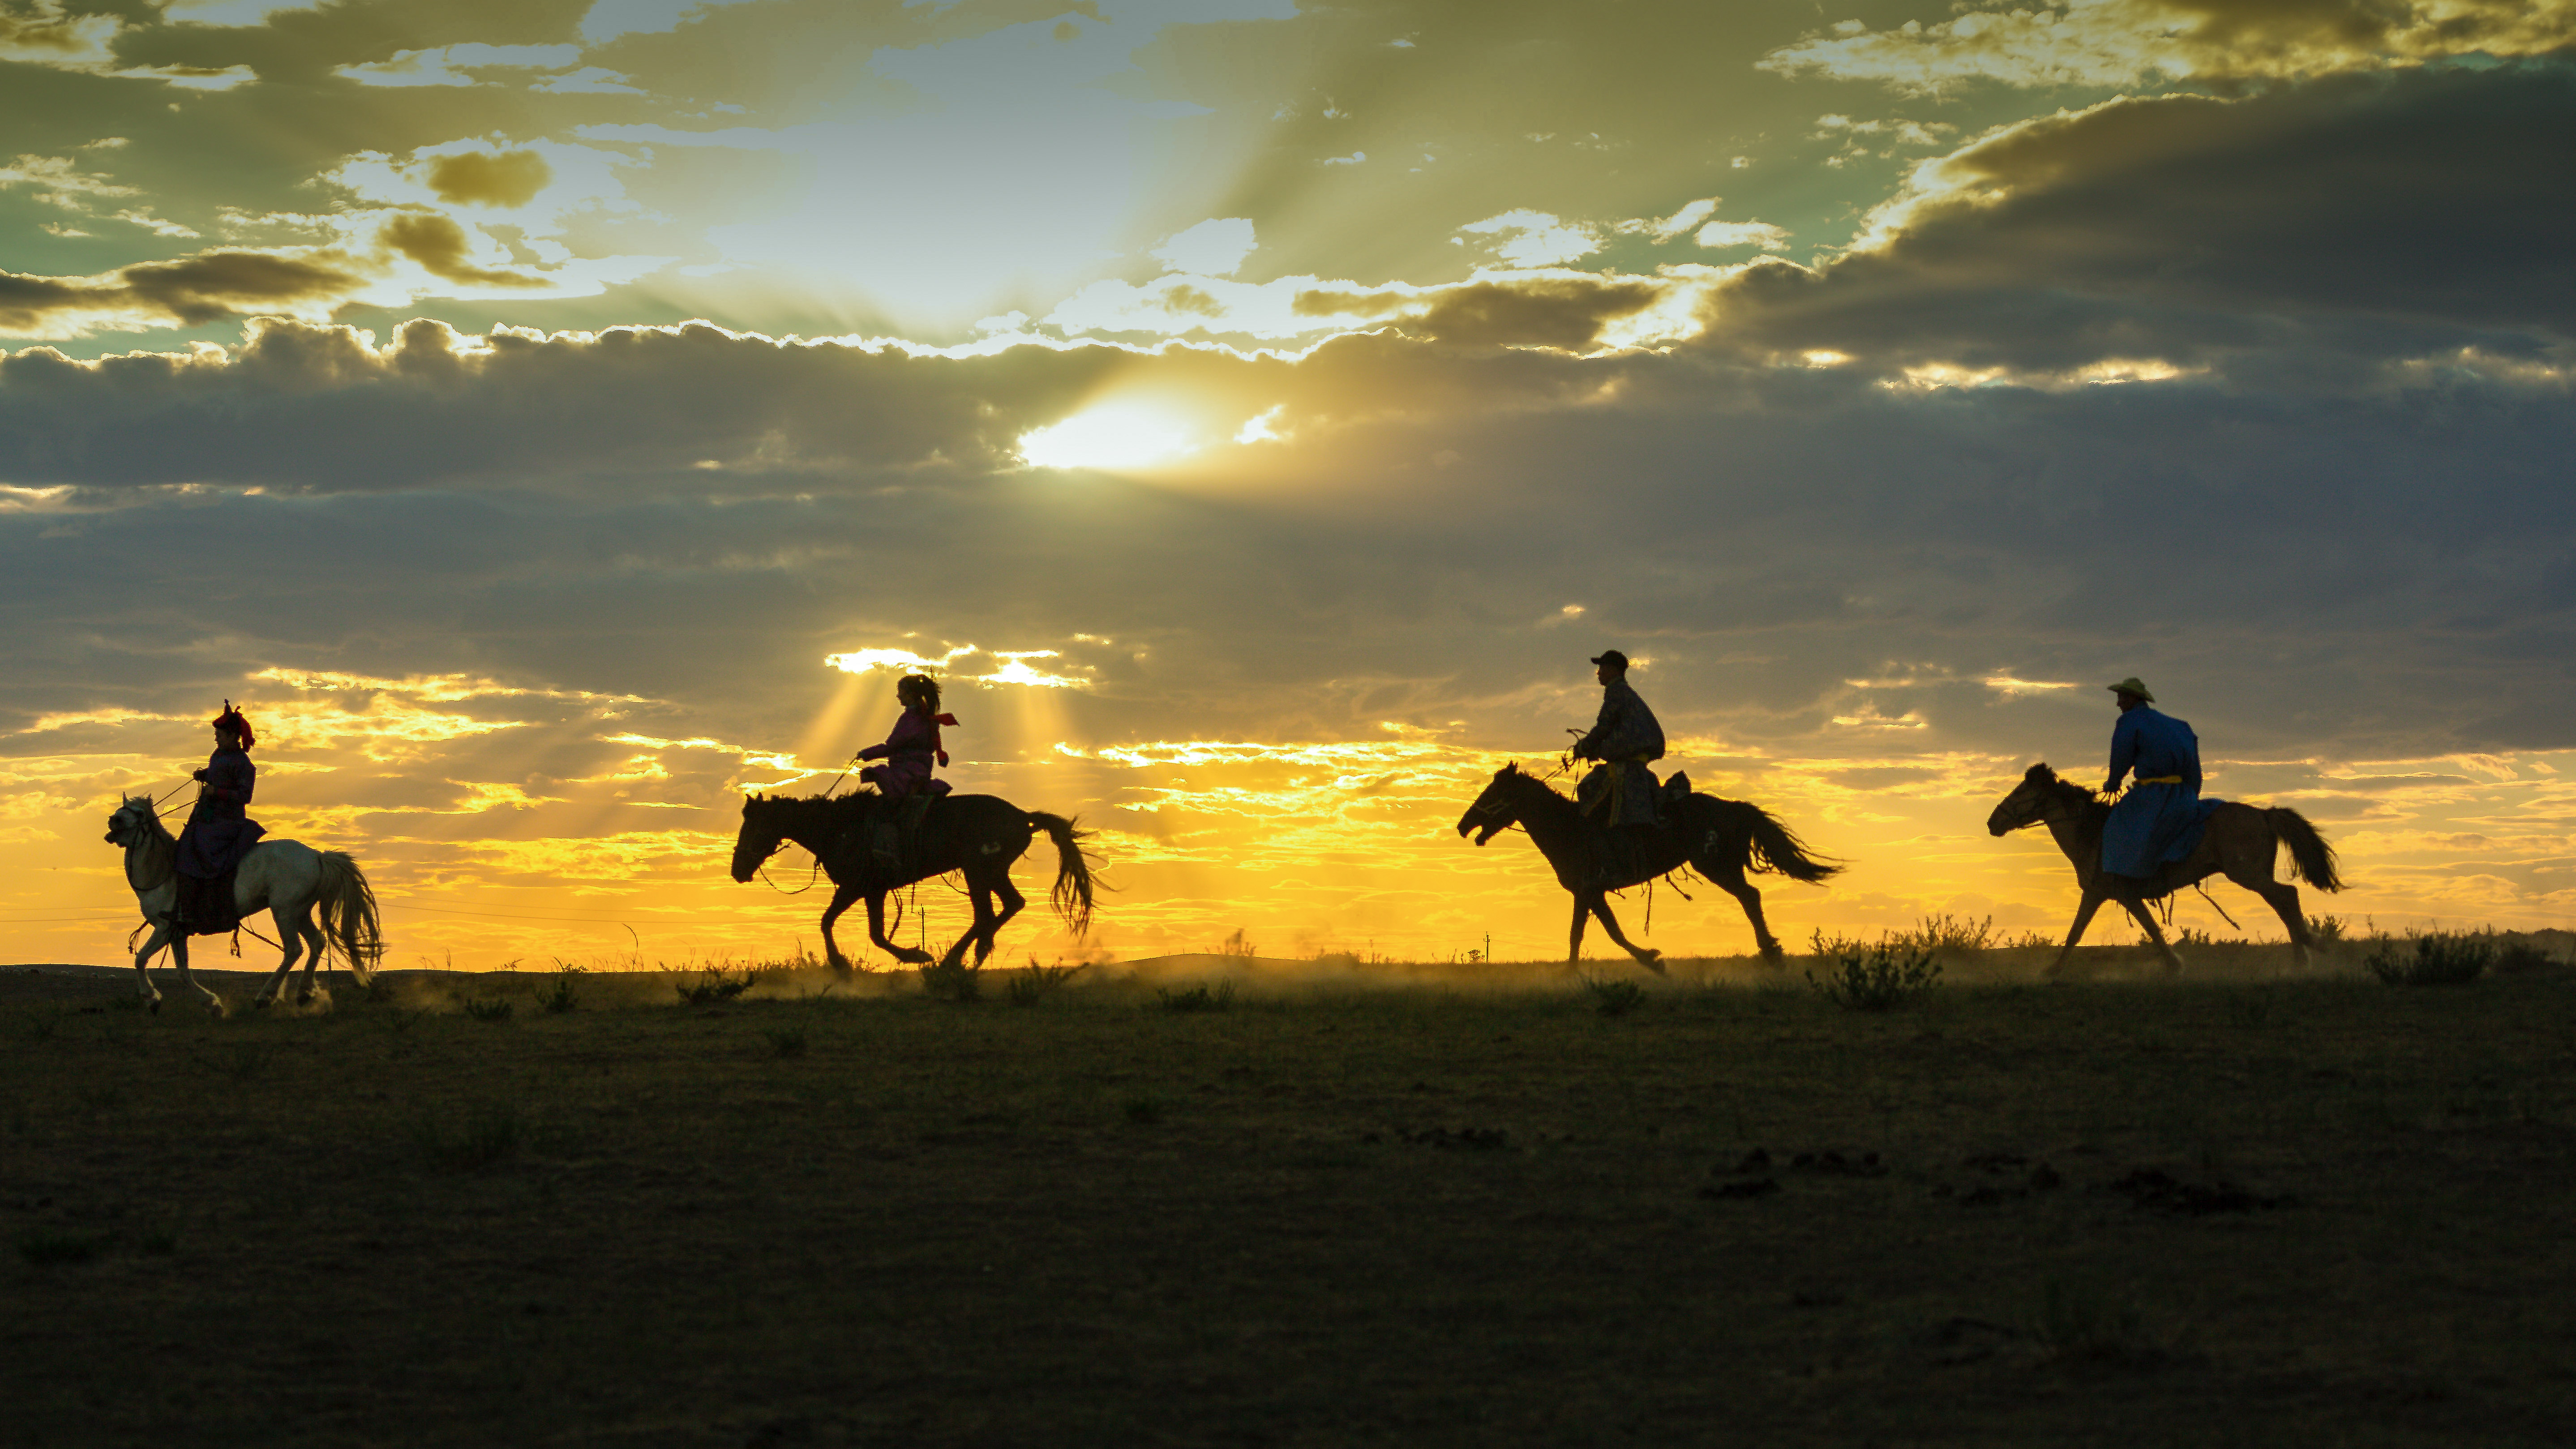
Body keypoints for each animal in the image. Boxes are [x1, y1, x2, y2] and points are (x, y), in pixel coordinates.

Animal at [103, 789, 386, 1016]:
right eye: (122, 809)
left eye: (139, 813)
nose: (114, 820)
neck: (162, 872)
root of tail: (317, 856)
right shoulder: (177, 932)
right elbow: (183, 972)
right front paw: (211, 1004)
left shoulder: (164, 929)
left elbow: (141, 960)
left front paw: (151, 999)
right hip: (300, 912)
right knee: (316, 942)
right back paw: (304, 993)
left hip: (284, 912)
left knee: (294, 949)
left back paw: (266, 997)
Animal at [731, 789, 1092, 969]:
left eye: (753, 826)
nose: (737, 871)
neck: (840, 827)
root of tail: (1023, 817)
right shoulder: (870, 891)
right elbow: (866, 931)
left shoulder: (859, 888)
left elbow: (836, 924)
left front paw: (845, 963)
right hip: (992, 872)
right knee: (1009, 906)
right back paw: (972, 953)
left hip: (978, 871)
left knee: (986, 914)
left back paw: (954, 960)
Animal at [1463, 758, 1844, 969]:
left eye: (1493, 793)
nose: (1462, 825)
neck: (1569, 829)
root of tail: (1736, 807)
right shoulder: (1591, 894)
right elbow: (1601, 934)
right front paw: (1648, 960)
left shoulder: (1587, 891)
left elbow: (1589, 934)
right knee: (1751, 897)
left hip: (1716, 865)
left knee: (1750, 898)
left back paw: (1772, 955)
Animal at [1978, 763, 2349, 974]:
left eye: (2020, 792)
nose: (1992, 822)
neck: (2093, 833)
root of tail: (2263, 813)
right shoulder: (2105, 894)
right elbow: (2083, 931)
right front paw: (2053, 971)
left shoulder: (2116, 893)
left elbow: (2132, 929)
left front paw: (2174, 965)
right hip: (2255, 875)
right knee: (2282, 902)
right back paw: (2300, 959)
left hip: (2247, 874)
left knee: (2286, 897)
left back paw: (2309, 949)